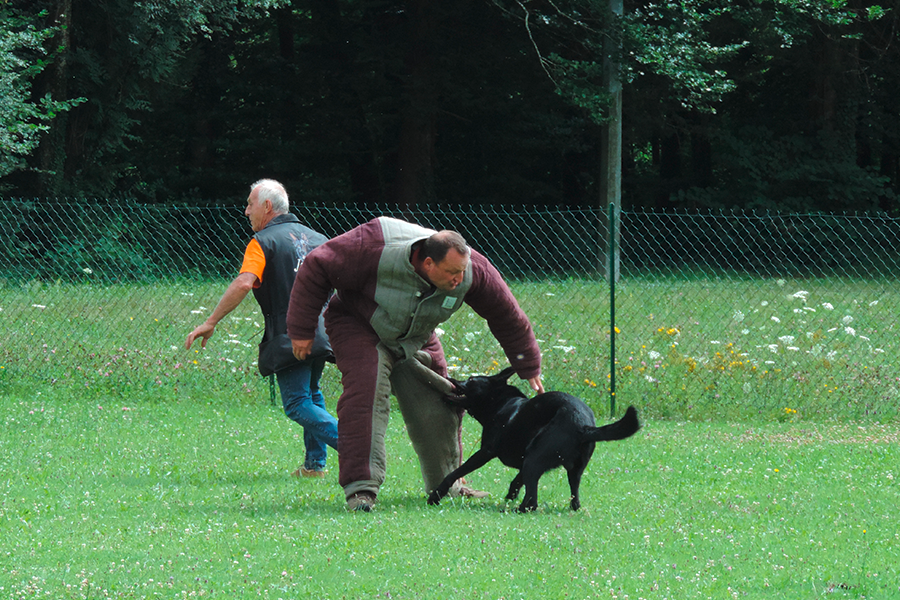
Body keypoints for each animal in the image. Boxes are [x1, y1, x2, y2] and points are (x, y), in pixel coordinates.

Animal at [428, 366, 640, 510]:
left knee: (532, 502)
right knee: (574, 500)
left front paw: (436, 495)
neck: (500, 404)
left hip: (534, 458)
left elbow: (455, 472)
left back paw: (515, 510)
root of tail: (583, 427)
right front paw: (509, 496)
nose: (448, 377)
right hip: (571, 471)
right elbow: (516, 481)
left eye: (471, 380)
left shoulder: (485, 452)